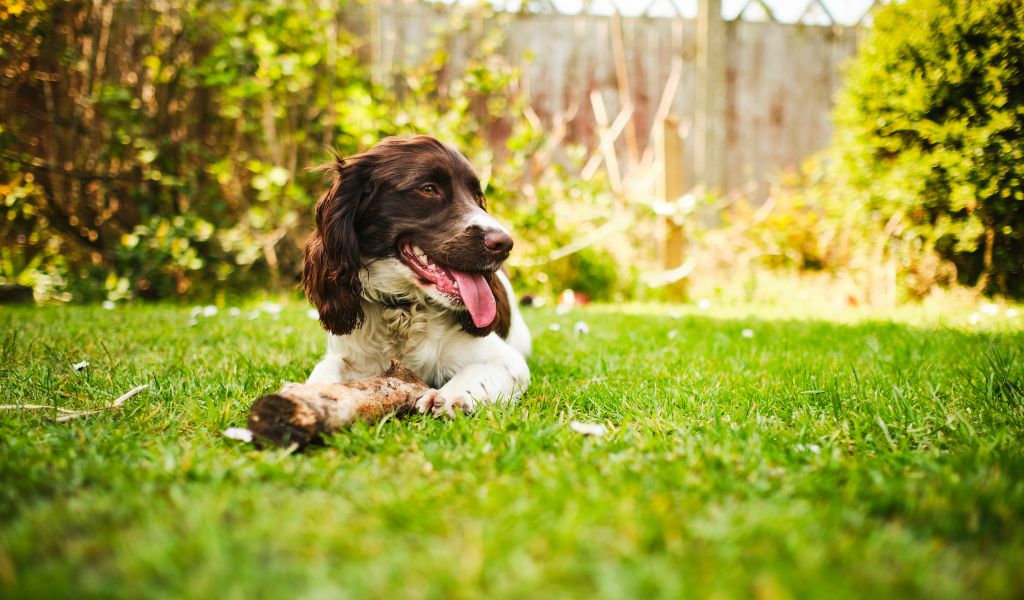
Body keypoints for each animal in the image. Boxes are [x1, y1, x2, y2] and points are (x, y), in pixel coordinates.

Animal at [301, 135, 528, 415]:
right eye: (428, 189)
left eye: (477, 196)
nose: (505, 244)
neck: (403, 309)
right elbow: (327, 367)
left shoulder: (510, 361)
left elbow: (479, 371)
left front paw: (450, 395)